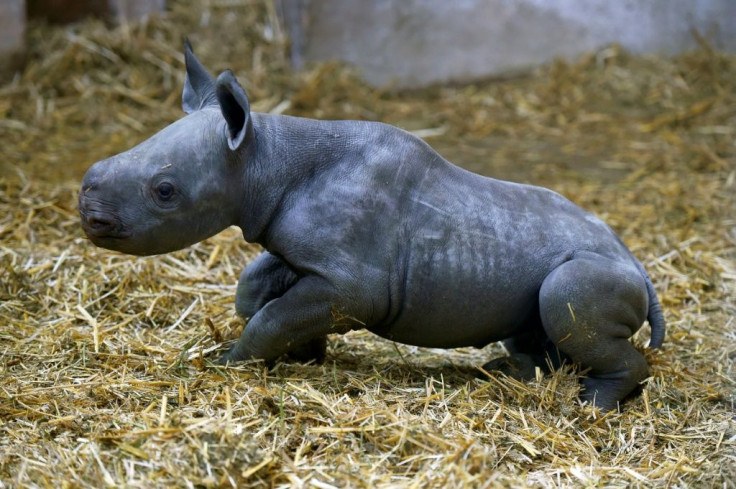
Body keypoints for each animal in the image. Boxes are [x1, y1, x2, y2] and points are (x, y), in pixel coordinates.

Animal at [77, 43, 664, 410]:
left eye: (165, 192)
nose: (90, 215)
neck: (264, 160)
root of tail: (637, 262)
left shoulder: (352, 286)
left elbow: (273, 316)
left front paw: (231, 363)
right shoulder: (300, 253)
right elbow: (257, 291)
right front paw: (303, 353)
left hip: (598, 269)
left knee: (566, 296)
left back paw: (589, 405)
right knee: (536, 320)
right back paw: (514, 371)